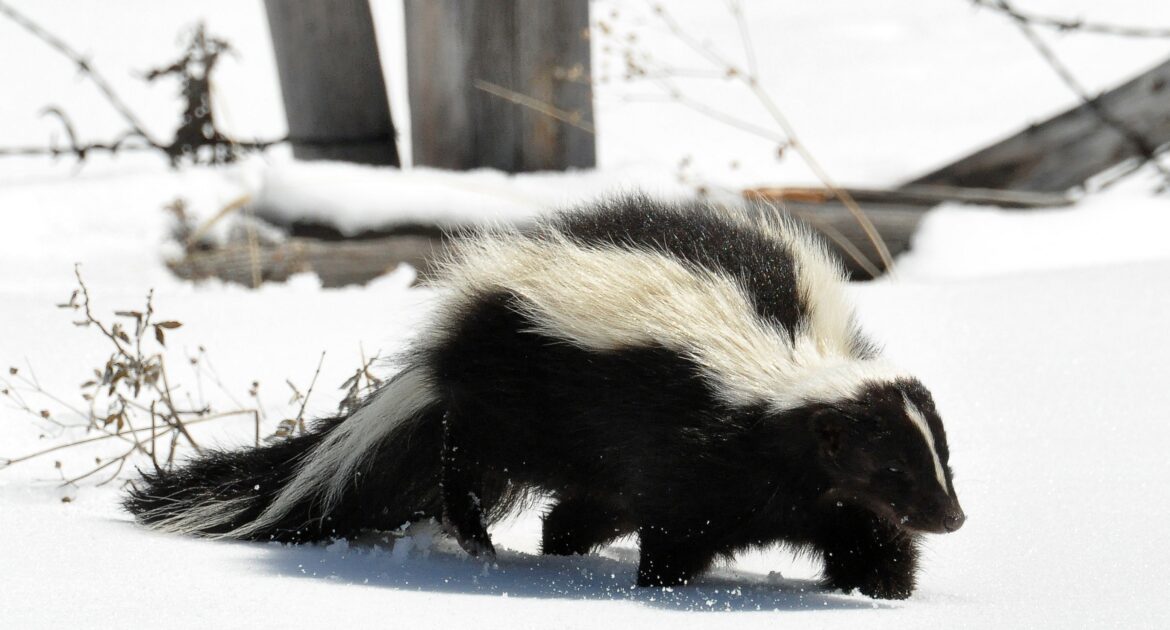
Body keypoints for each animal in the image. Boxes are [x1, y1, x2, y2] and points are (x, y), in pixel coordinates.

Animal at [130, 194, 968, 597]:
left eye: (942, 462)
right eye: (892, 467)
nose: (953, 518)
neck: (787, 370)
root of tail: (448, 341)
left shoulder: (812, 484)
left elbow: (857, 524)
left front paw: (883, 585)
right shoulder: (695, 440)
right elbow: (682, 523)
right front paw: (662, 586)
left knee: (579, 506)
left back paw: (557, 544)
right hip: (515, 397)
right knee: (465, 456)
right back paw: (479, 538)